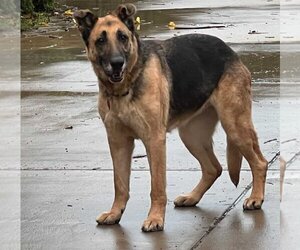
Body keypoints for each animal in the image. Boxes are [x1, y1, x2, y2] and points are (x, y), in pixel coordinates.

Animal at [74, 3, 268, 232]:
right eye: (100, 40)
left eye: (122, 37)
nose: (117, 63)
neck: (125, 87)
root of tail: (230, 52)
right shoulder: (118, 142)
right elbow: (120, 184)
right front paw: (115, 213)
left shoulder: (154, 141)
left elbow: (157, 186)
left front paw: (155, 218)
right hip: (192, 136)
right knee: (214, 168)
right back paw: (192, 197)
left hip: (235, 126)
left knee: (260, 162)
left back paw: (255, 198)